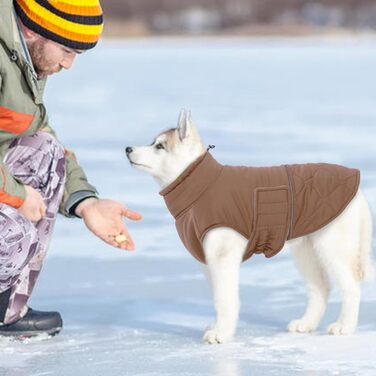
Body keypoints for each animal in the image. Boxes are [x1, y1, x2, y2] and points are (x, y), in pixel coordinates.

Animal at [125, 109, 374, 344]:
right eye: (153, 142)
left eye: (159, 146)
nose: (128, 148)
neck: (199, 185)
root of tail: (358, 190)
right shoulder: (208, 260)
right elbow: (217, 297)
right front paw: (217, 327)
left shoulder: (222, 257)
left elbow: (225, 299)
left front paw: (221, 334)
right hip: (306, 249)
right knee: (321, 287)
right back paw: (306, 323)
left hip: (332, 247)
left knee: (351, 286)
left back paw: (344, 326)